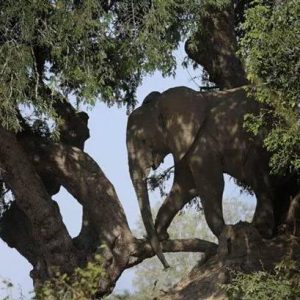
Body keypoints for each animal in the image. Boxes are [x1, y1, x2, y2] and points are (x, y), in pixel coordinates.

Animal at [125, 86, 276, 268]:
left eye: (143, 140)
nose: (167, 267)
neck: (161, 103)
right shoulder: (183, 143)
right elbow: (184, 188)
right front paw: (161, 235)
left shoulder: (202, 139)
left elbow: (210, 185)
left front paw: (225, 235)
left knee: (258, 177)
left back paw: (260, 228)